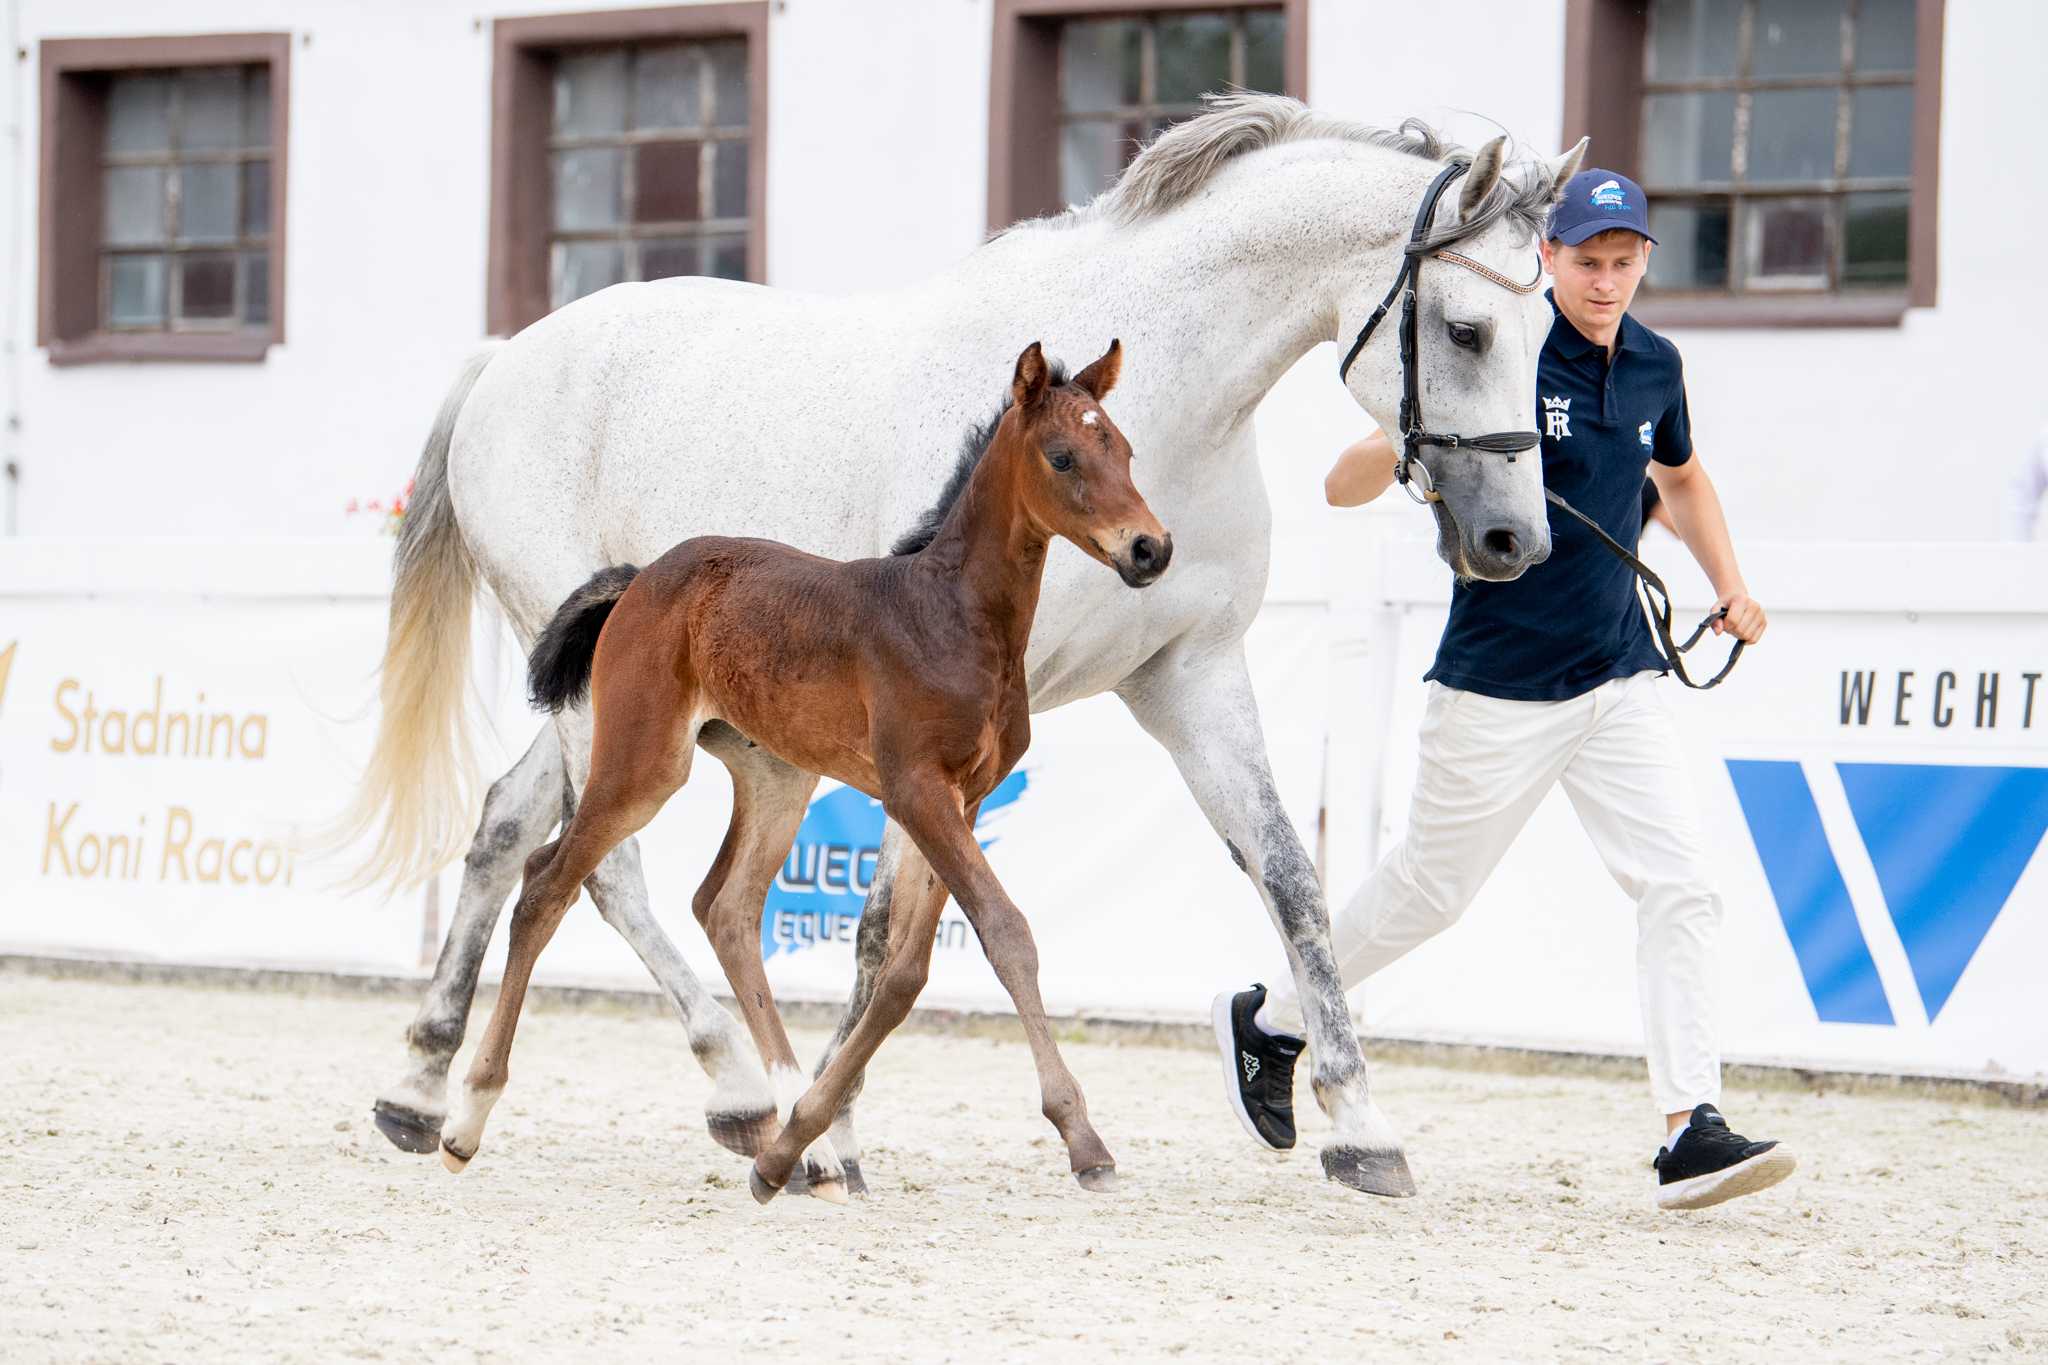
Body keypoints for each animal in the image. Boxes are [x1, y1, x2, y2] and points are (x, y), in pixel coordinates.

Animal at [435, 340, 1166, 1203]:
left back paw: (798, 1146)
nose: (1151, 548)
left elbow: (905, 970)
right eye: (1062, 456)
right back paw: (465, 1118)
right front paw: (1084, 1139)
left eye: (1125, 449)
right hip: (644, 762)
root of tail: (640, 576)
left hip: (776, 776)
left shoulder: (965, 797)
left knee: (725, 905)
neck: (953, 615)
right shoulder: (917, 787)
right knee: (549, 882)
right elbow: (1004, 930)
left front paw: (796, 1142)